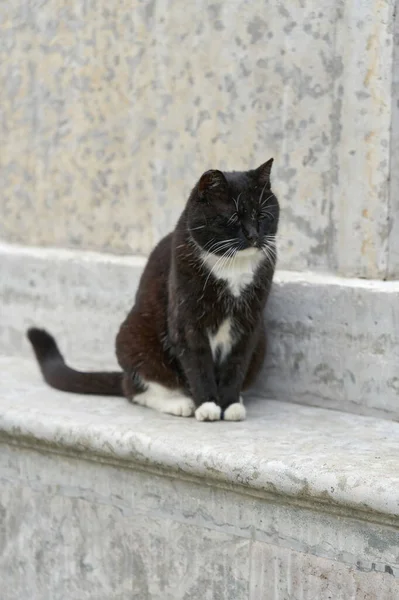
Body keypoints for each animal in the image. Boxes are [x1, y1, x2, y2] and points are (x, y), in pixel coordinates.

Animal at [28, 159, 280, 422]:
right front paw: (208, 405)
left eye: (262, 215)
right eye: (233, 217)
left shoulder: (249, 323)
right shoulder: (186, 320)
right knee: (136, 389)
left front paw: (229, 404)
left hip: (262, 340)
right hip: (134, 335)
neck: (232, 266)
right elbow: (198, 363)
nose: (253, 235)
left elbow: (237, 363)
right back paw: (180, 403)